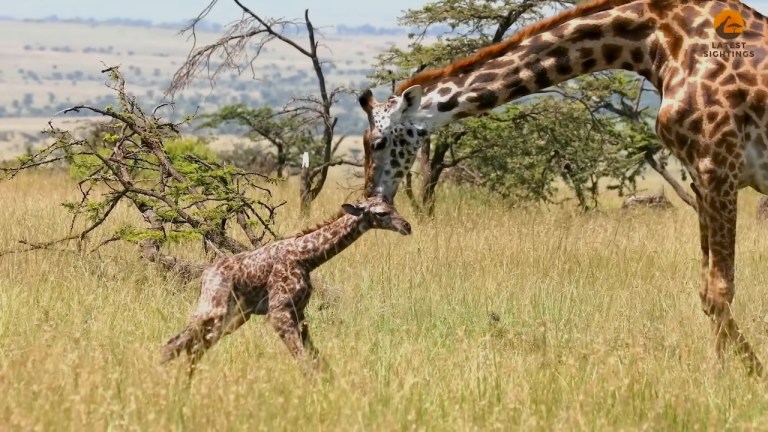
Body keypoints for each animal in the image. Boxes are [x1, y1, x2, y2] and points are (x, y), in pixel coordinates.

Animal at [159, 195, 412, 374]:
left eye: (393, 206)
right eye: (381, 213)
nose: (407, 226)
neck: (307, 258)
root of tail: (206, 274)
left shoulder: (299, 313)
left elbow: (318, 361)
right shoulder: (278, 312)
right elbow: (303, 361)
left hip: (234, 317)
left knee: (192, 347)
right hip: (215, 308)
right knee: (175, 344)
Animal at [356, 0, 768, 374]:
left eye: (377, 142)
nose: (372, 196)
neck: (656, 43)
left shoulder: (718, 164)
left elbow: (719, 290)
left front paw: (736, 375)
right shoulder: (700, 176)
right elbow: (706, 291)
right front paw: (732, 371)